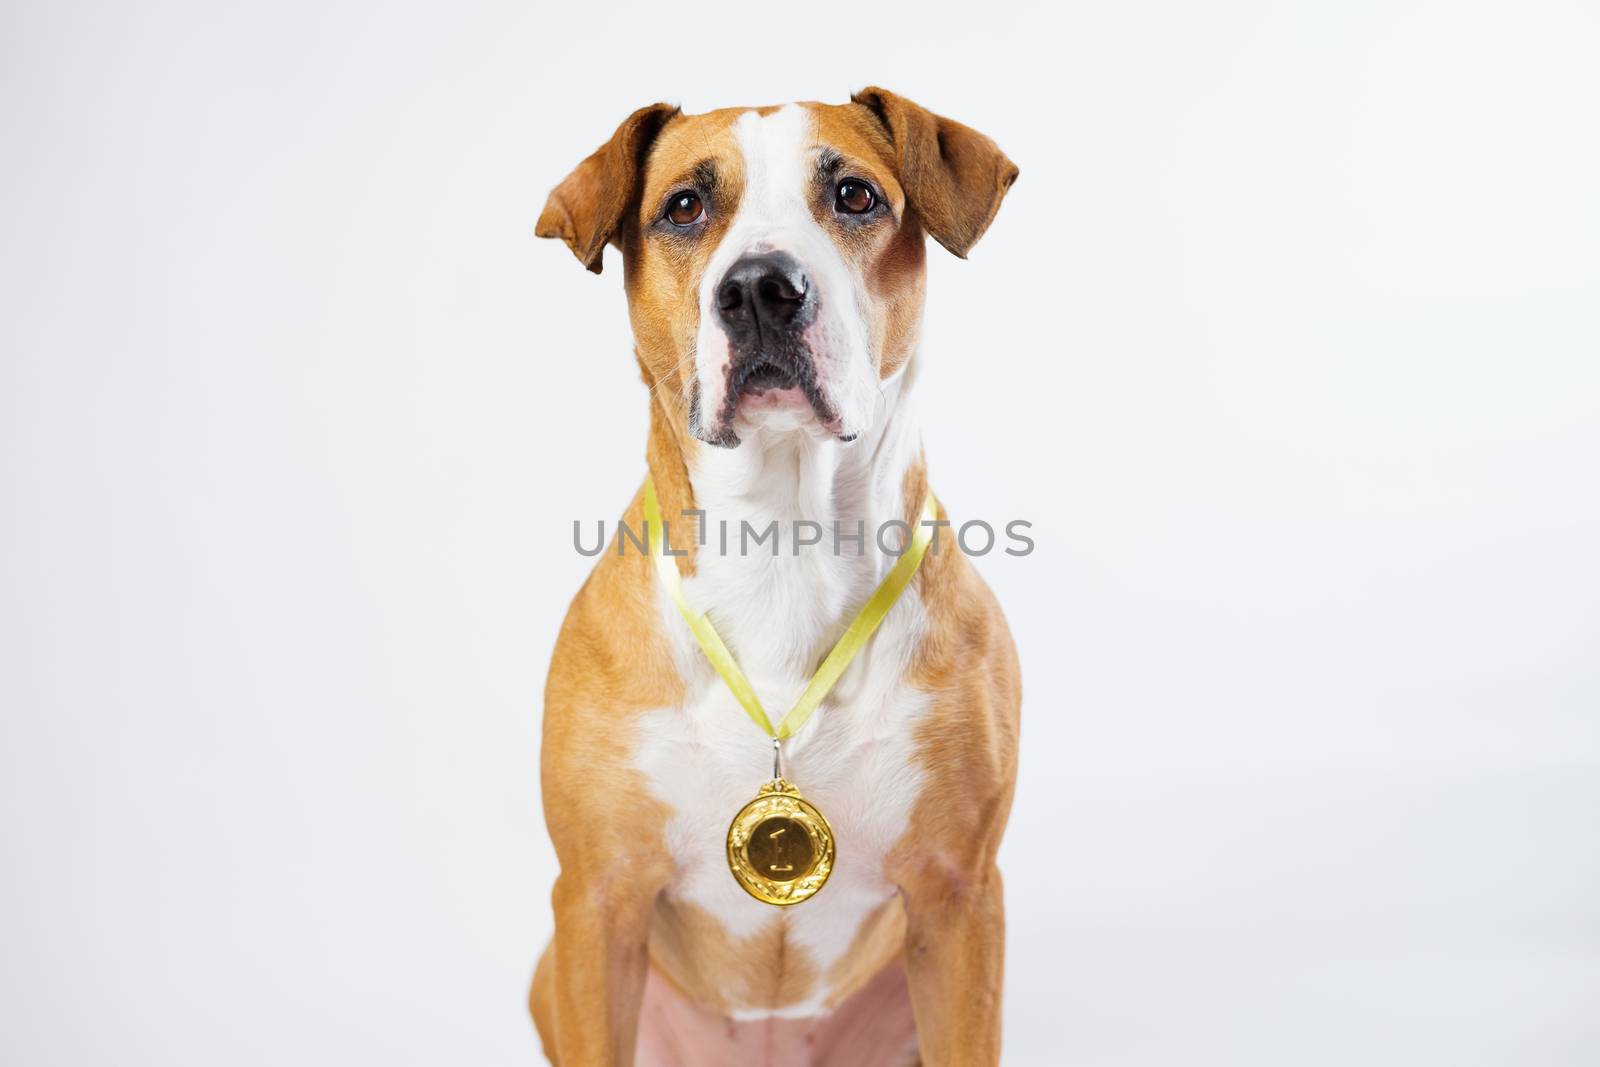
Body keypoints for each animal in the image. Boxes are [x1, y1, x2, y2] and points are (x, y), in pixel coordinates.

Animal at [531, 87, 1017, 1062]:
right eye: (684, 206)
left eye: (856, 195)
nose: (760, 287)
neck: (782, 547)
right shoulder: (596, 903)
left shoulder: (960, 899)